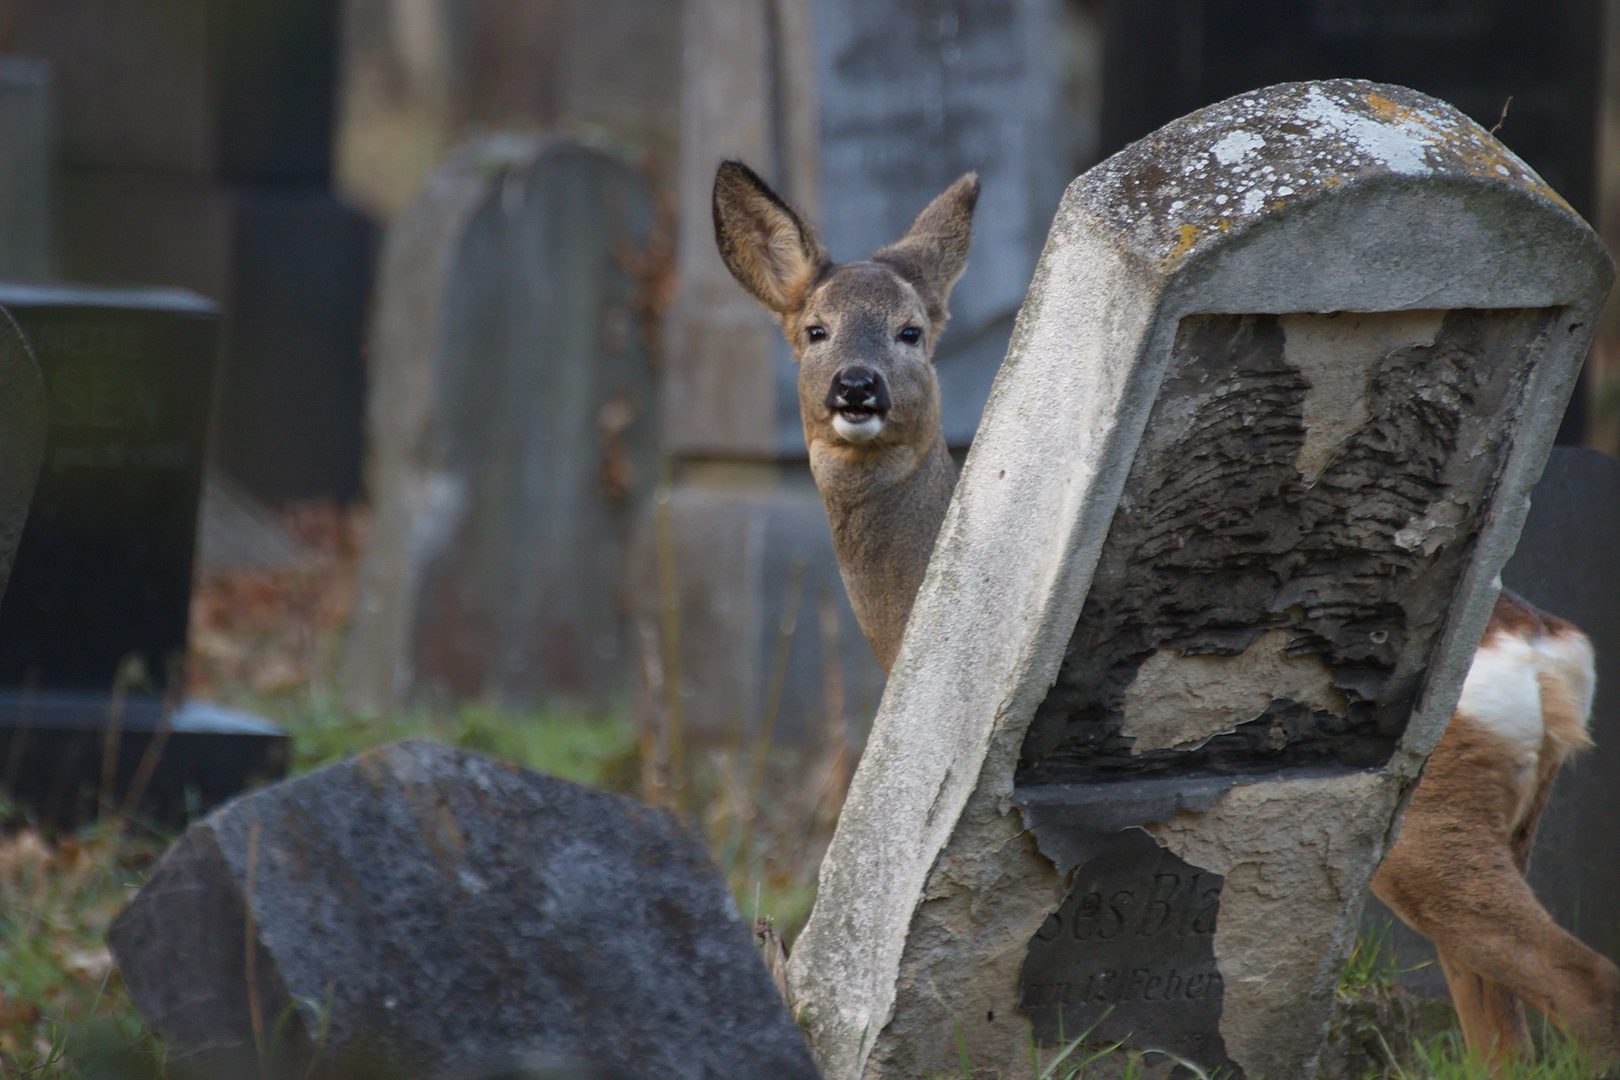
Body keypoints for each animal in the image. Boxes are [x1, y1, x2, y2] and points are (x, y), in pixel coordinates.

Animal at [712, 156, 1620, 1068]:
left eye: (909, 331)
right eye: (815, 329)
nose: (855, 387)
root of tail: (1549, 654)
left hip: (1435, 824)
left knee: (1585, 985)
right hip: (1507, 822)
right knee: (1506, 1036)